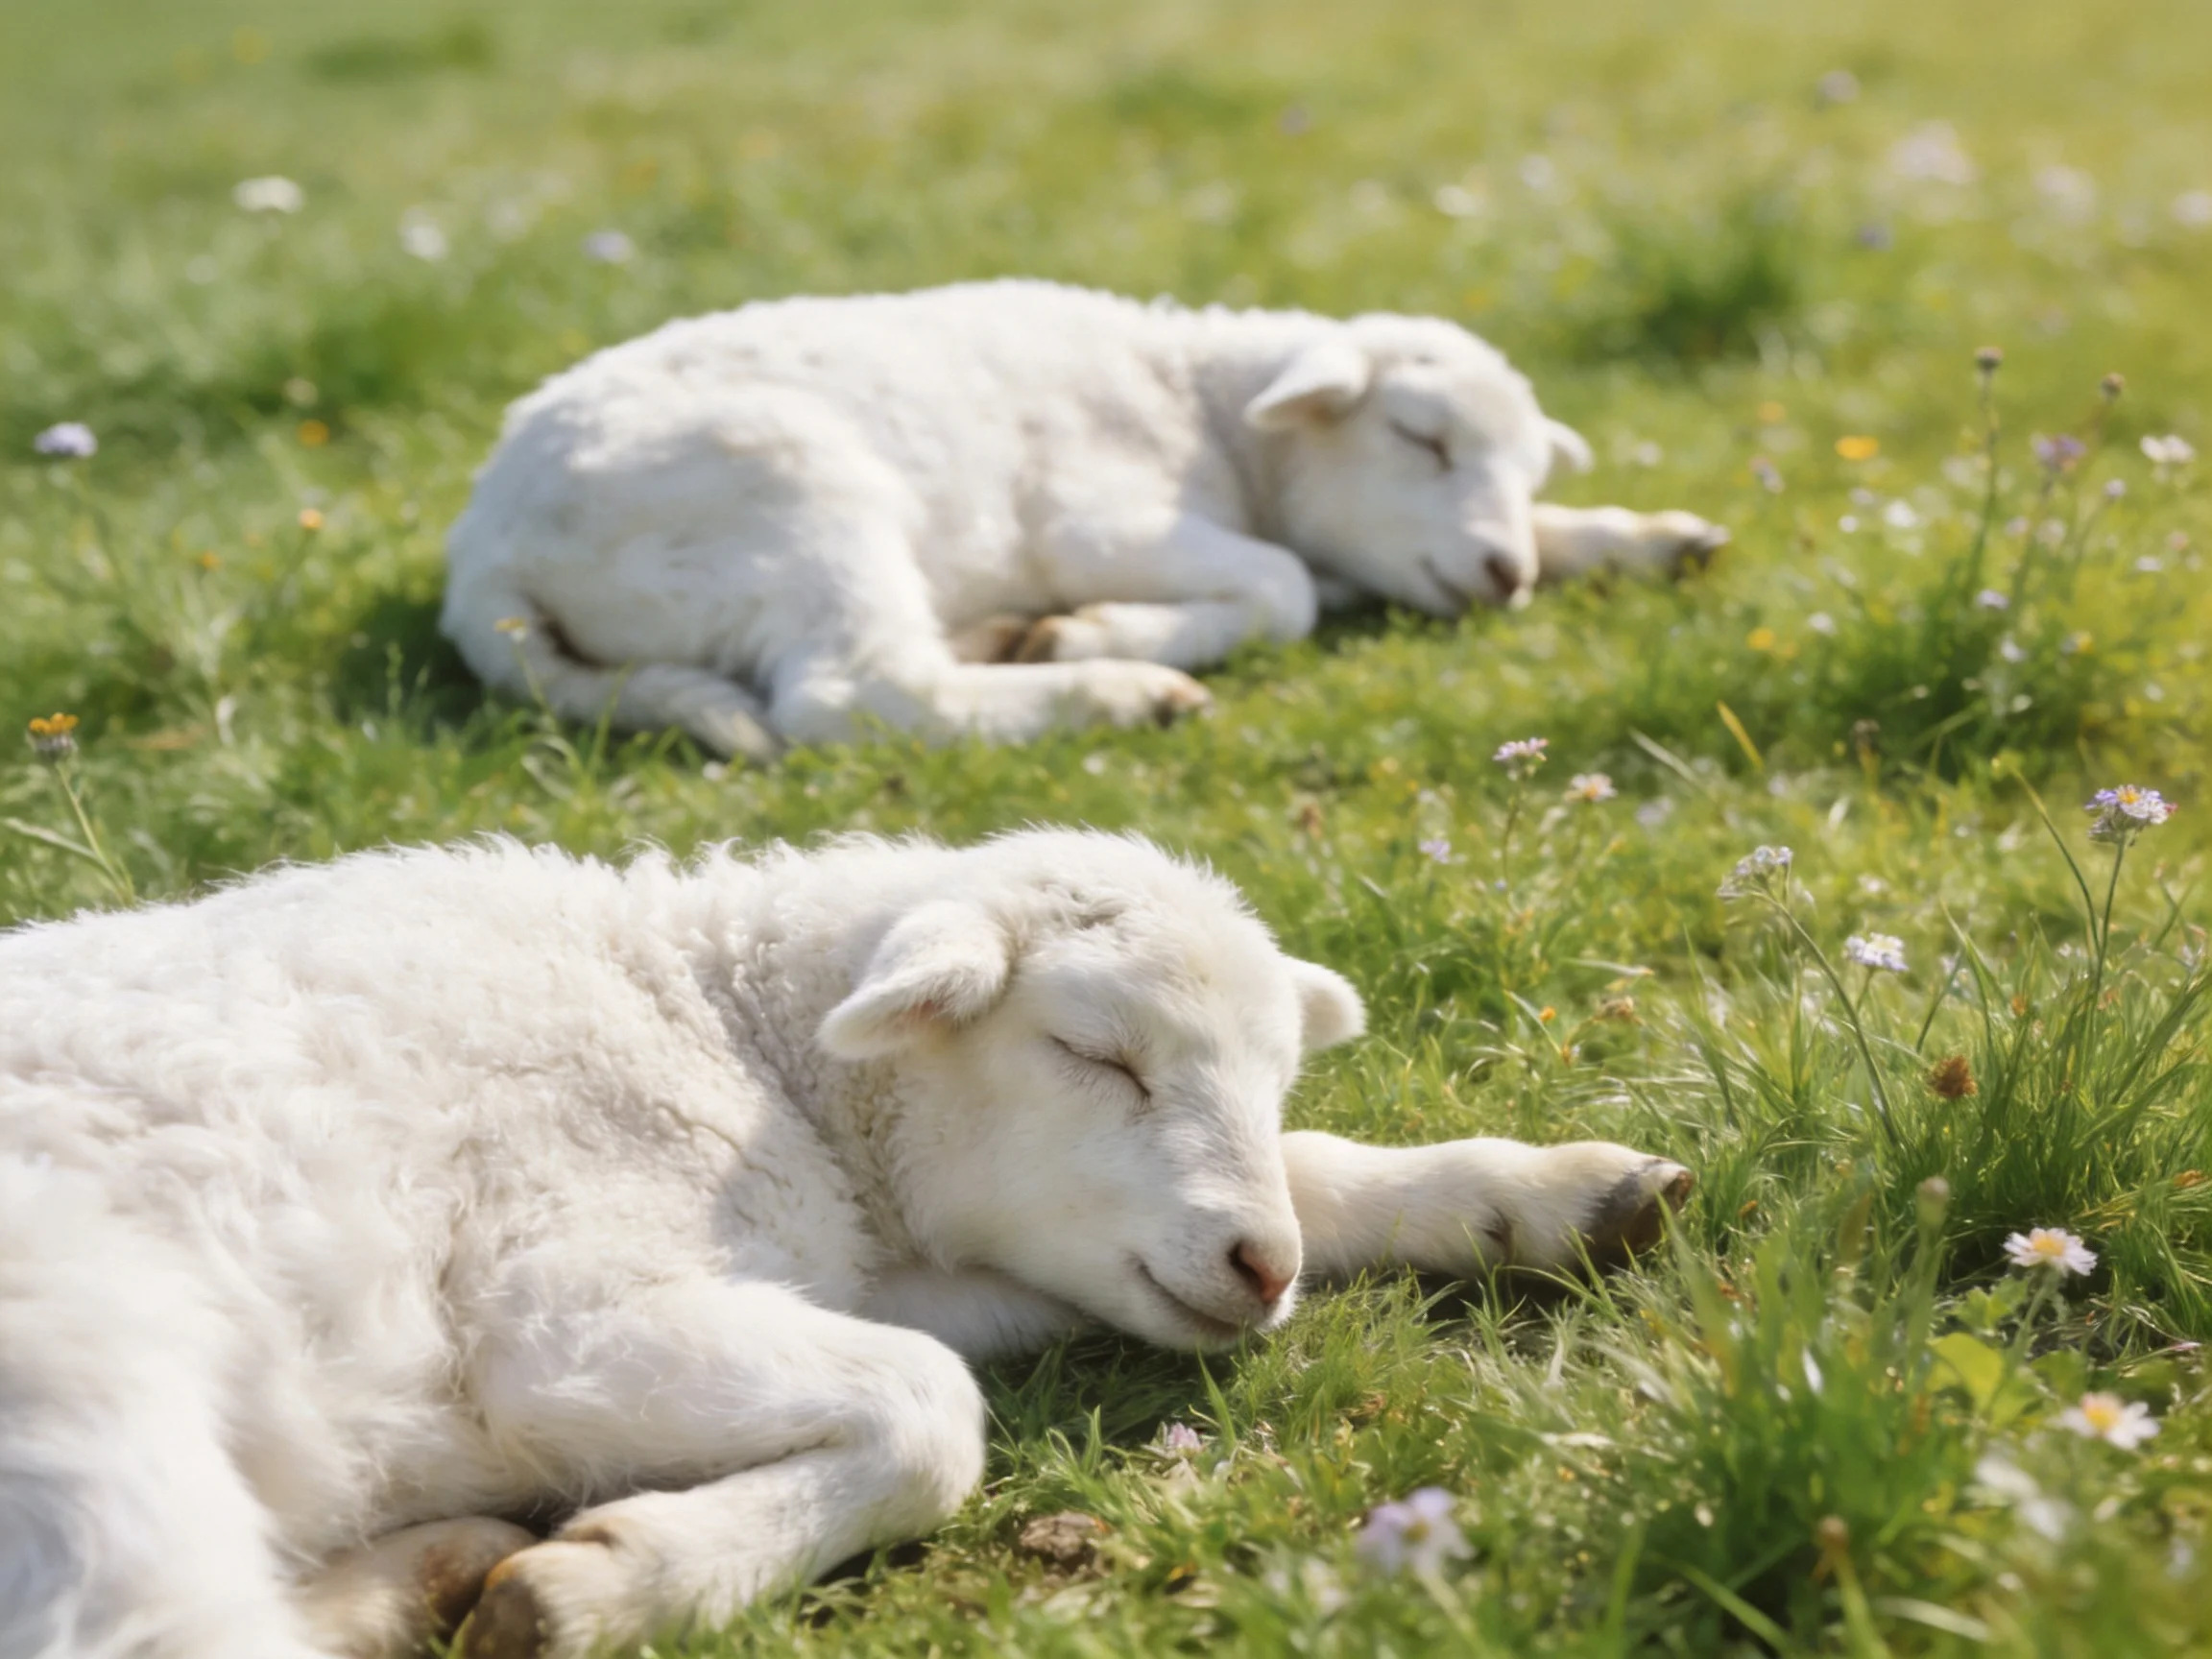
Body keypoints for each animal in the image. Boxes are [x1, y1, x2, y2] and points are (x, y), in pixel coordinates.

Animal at [0, 830, 1692, 1659]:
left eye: (1275, 1072)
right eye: (1095, 1053)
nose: (1259, 1272)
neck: (736, 1035)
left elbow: (1313, 1177)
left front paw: (1547, 1191)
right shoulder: (560, 1312)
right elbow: (932, 1409)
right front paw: (617, 1582)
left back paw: (420, 1571)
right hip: (87, 1378)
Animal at [442, 281, 1727, 760]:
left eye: (1524, 465)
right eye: (1422, 438)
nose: (1504, 573)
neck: (1205, 412)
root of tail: (485, 560)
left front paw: (1654, 537)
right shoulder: (1094, 519)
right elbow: (1281, 588)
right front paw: (1098, 635)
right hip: (796, 499)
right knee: (849, 696)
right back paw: (1108, 687)